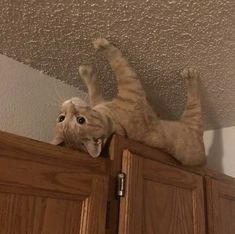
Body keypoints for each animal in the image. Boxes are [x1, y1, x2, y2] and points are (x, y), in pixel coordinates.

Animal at [51, 38, 206, 165]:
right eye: (81, 120)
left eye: (61, 118)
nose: (70, 104)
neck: (111, 119)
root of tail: (204, 159)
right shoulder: (130, 82)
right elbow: (118, 61)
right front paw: (102, 45)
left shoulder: (99, 99)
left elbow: (94, 88)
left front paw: (86, 71)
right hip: (191, 116)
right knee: (195, 100)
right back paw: (191, 77)